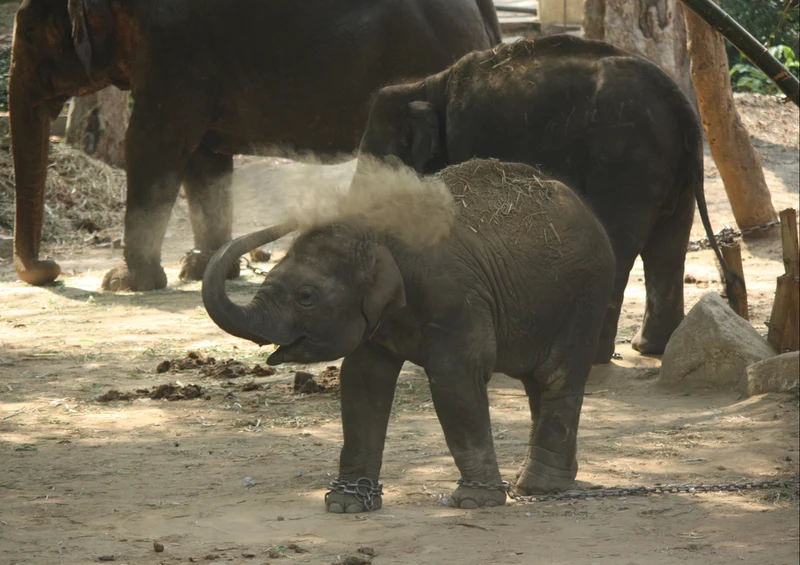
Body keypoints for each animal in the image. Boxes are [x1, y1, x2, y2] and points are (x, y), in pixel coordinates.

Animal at [9, 0, 500, 291]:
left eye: (30, 35)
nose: (51, 269)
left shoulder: (174, 49)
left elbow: (152, 144)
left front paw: (123, 283)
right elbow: (204, 160)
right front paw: (203, 269)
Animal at [202, 158, 616, 511]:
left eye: (305, 296)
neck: (374, 231)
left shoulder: (455, 297)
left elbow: (455, 381)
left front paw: (474, 501)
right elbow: (363, 381)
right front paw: (346, 504)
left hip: (586, 297)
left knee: (556, 377)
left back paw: (538, 487)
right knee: (537, 385)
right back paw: (552, 482)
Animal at [356, 34, 743, 363]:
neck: (428, 85)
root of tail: (679, 102)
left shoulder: (469, 137)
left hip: (626, 164)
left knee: (620, 241)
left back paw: (594, 356)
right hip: (675, 171)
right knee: (668, 245)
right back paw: (649, 348)